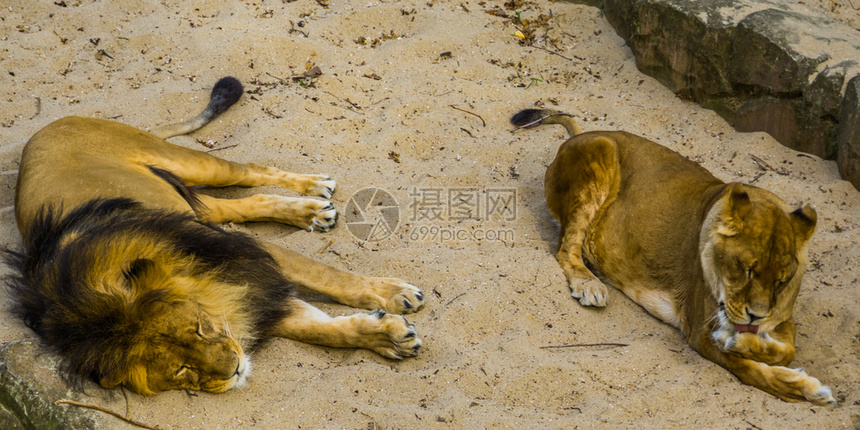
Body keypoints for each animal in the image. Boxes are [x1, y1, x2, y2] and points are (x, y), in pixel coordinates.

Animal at [3, 78, 424, 396]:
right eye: (182, 370)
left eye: (199, 329)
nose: (235, 369)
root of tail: (45, 129)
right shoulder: (247, 297)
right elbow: (322, 330)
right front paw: (389, 338)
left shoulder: (247, 258)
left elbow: (329, 277)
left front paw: (395, 295)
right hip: (192, 206)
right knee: (243, 204)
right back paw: (310, 211)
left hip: (190, 165)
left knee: (249, 171)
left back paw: (314, 187)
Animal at [510, 109, 832, 404]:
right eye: (744, 268)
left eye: (782, 281)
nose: (755, 316)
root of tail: (581, 134)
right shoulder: (700, 331)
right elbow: (749, 369)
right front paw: (807, 389)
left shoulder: (780, 320)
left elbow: (787, 350)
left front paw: (743, 342)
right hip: (601, 151)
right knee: (566, 249)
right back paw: (589, 284)